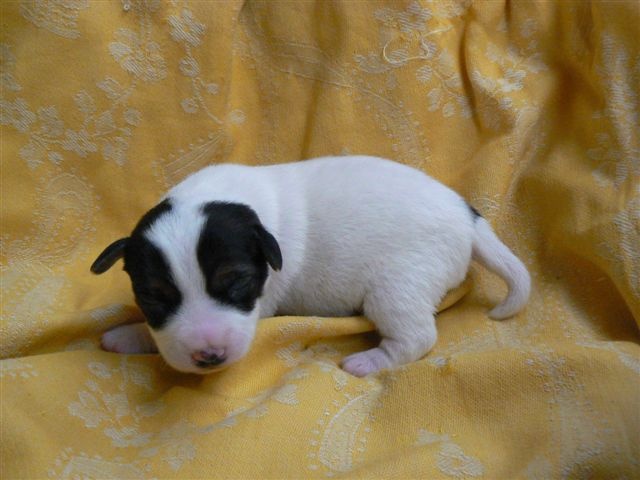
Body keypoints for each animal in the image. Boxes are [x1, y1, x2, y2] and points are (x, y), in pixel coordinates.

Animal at [91, 156, 530, 376]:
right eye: (153, 296)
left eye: (236, 280)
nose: (209, 355)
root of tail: (468, 219)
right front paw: (131, 330)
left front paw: (130, 335)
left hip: (398, 286)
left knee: (417, 337)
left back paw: (370, 361)